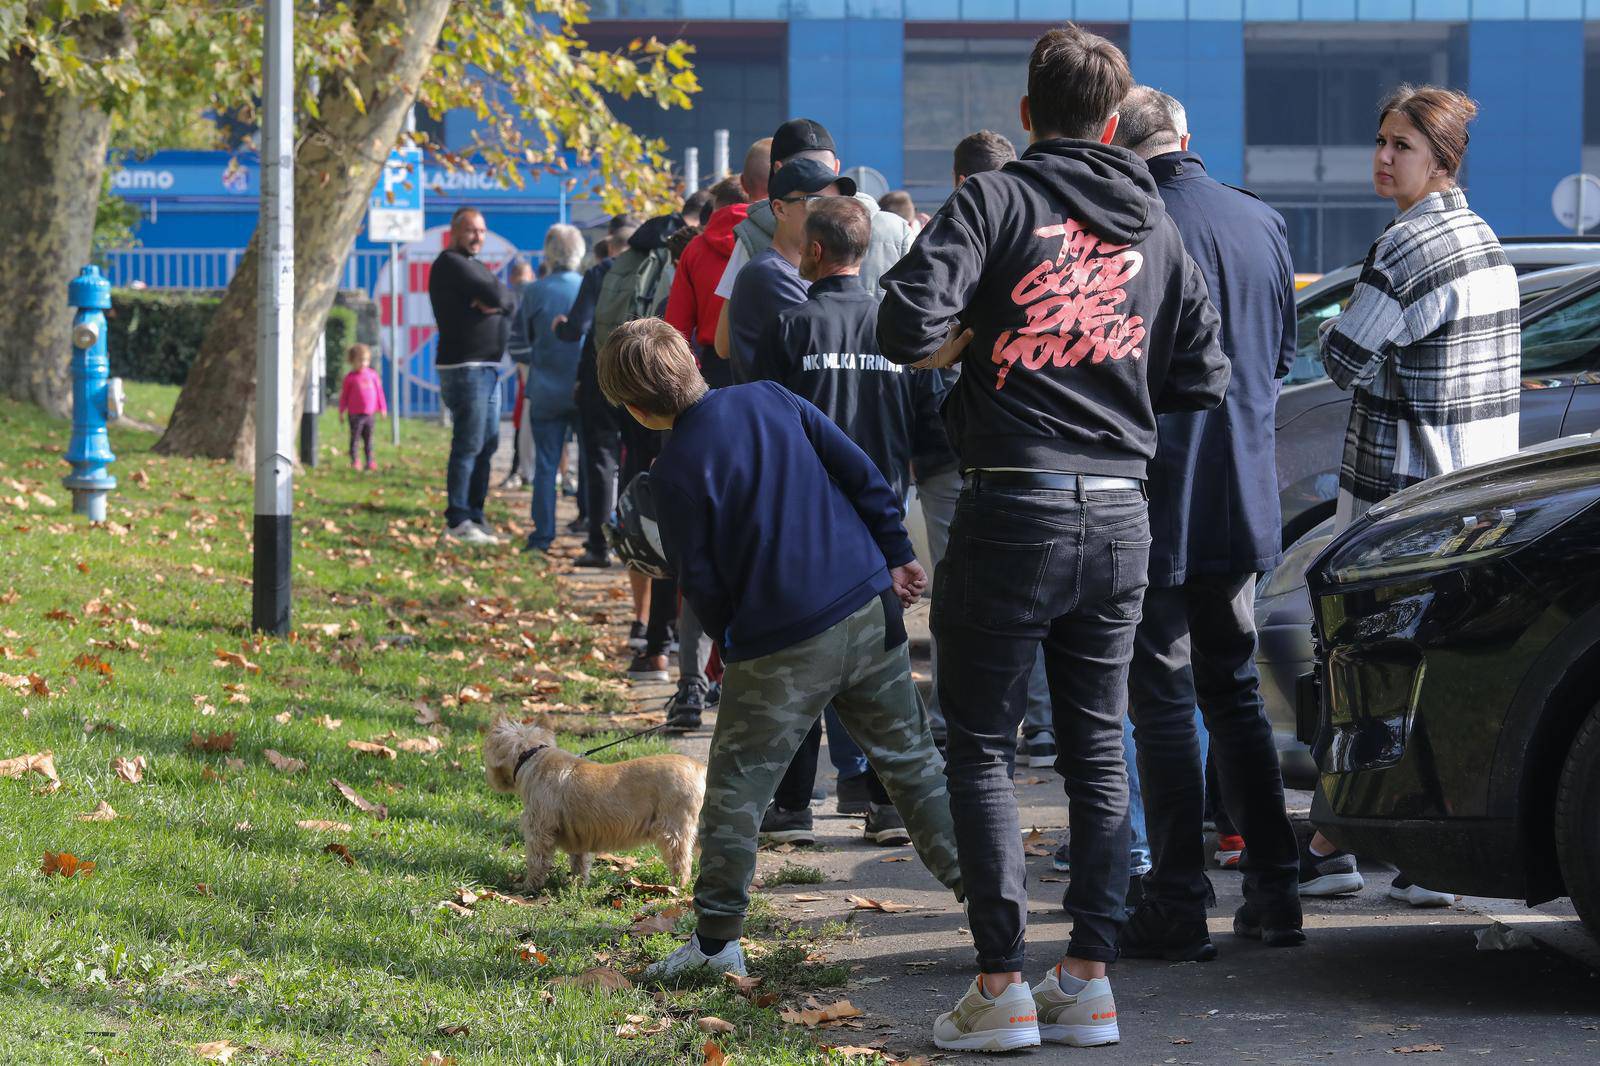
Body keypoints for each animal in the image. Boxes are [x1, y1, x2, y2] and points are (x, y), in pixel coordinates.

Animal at [483, 713, 704, 889]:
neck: (532, 756)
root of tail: (701, 769)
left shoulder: (538, 829)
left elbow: (537, 861)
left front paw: (529, 886)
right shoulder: (579, 834)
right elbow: (579, 862)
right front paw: (578, 885)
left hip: (673, 829)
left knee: (681, 862)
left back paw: (676, 888)